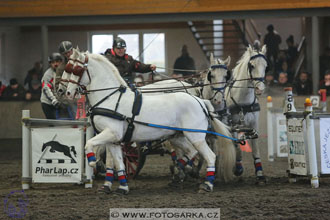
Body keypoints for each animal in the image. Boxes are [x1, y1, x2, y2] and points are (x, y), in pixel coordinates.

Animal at [65, 49, 235, 193]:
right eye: (68, 68)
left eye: (77, 70)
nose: (67, 93)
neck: (111, 98)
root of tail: (200, 101)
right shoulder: (113, 140)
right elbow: (118, 162)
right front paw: (122, 187)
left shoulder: (111, 133)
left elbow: (89, 144)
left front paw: (92, 162)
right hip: (178, 136)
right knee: (191, 152)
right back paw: (178, 173)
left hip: (195, 136)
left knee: (210, 156)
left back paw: (206, 185)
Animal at [224, 44, 268, 182]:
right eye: (252, 65)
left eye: (266, 66)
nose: (260, 89)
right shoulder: (232, 125)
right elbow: (236, 145)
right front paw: (238, 168)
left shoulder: (253, 125)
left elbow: (255, 148)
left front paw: (260, 174)